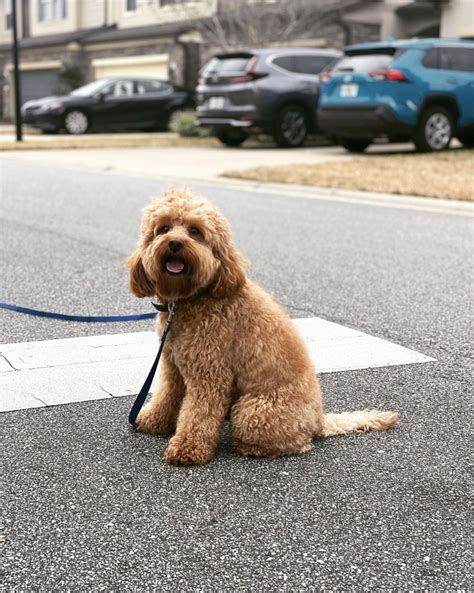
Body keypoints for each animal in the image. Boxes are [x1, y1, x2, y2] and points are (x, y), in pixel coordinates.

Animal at [127, 187, 400, 464]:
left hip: (253, 412)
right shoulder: (172, 366)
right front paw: (153, 420)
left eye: (195, 231)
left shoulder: (209, 374)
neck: (193, 299)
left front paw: (187, 447)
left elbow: (198, 414)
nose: (174, 243)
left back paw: (250, 446)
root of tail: (319, 421)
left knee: (297, 443)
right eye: (163, 228)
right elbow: (166, 395)